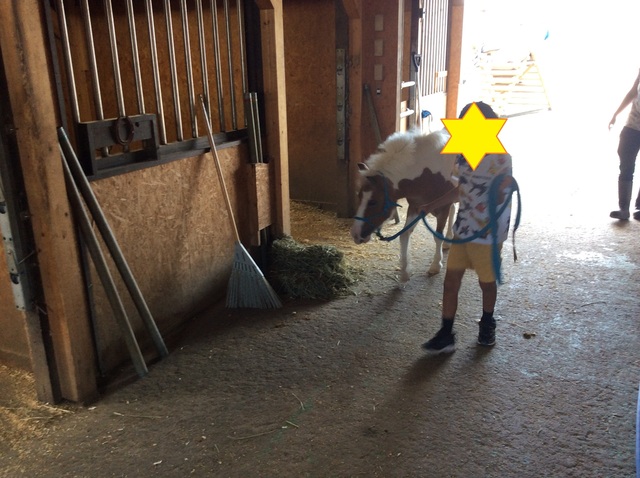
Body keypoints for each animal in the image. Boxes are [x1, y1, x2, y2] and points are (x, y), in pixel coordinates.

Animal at [350, 129, 457, 282]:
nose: (355, 235)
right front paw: (405, 272)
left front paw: (436, 266)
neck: (428, 173)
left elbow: (437, 236)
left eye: (373, 201)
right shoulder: (415, 207)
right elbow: (404, 234)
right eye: (359, 196)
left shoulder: (443, 208)